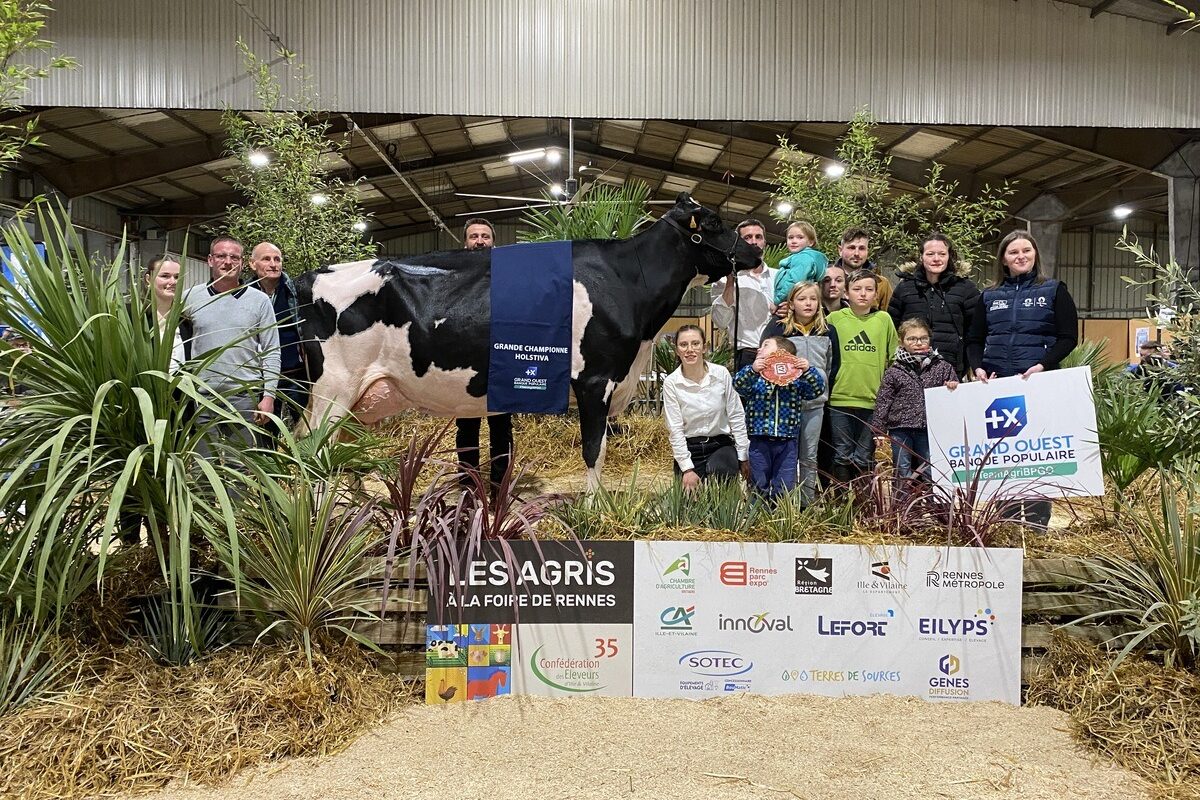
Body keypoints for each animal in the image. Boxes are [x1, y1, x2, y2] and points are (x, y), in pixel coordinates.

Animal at [291, 194, 758, 489]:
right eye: (714, 223)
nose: (756, 249)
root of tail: (310, 275)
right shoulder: (595, 380)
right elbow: (594, 449)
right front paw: (594, 508)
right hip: (333, 389)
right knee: (311, 452)